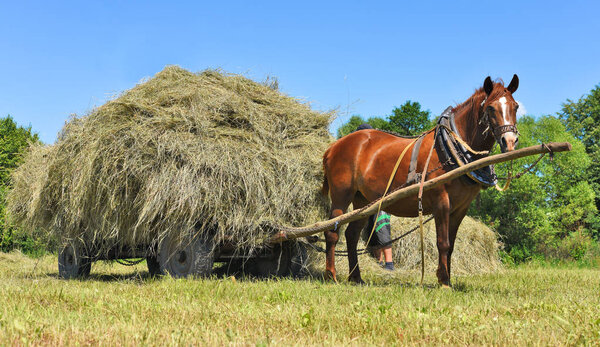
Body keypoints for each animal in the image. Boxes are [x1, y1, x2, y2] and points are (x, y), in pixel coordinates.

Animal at [324, 75, 520, 286]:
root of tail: (334, 146)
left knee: (351, 234)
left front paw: (446, 278)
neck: (452, 148)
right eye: (491, 108)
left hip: (363, 201)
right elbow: (443, 243)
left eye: (515, 106)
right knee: (332, 232)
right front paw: (444, 281)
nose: (509, 141)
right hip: (341, 195)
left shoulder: (460, 208)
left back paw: (356, 277)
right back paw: (331, 274)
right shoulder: (441, 201)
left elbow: (451, 246)